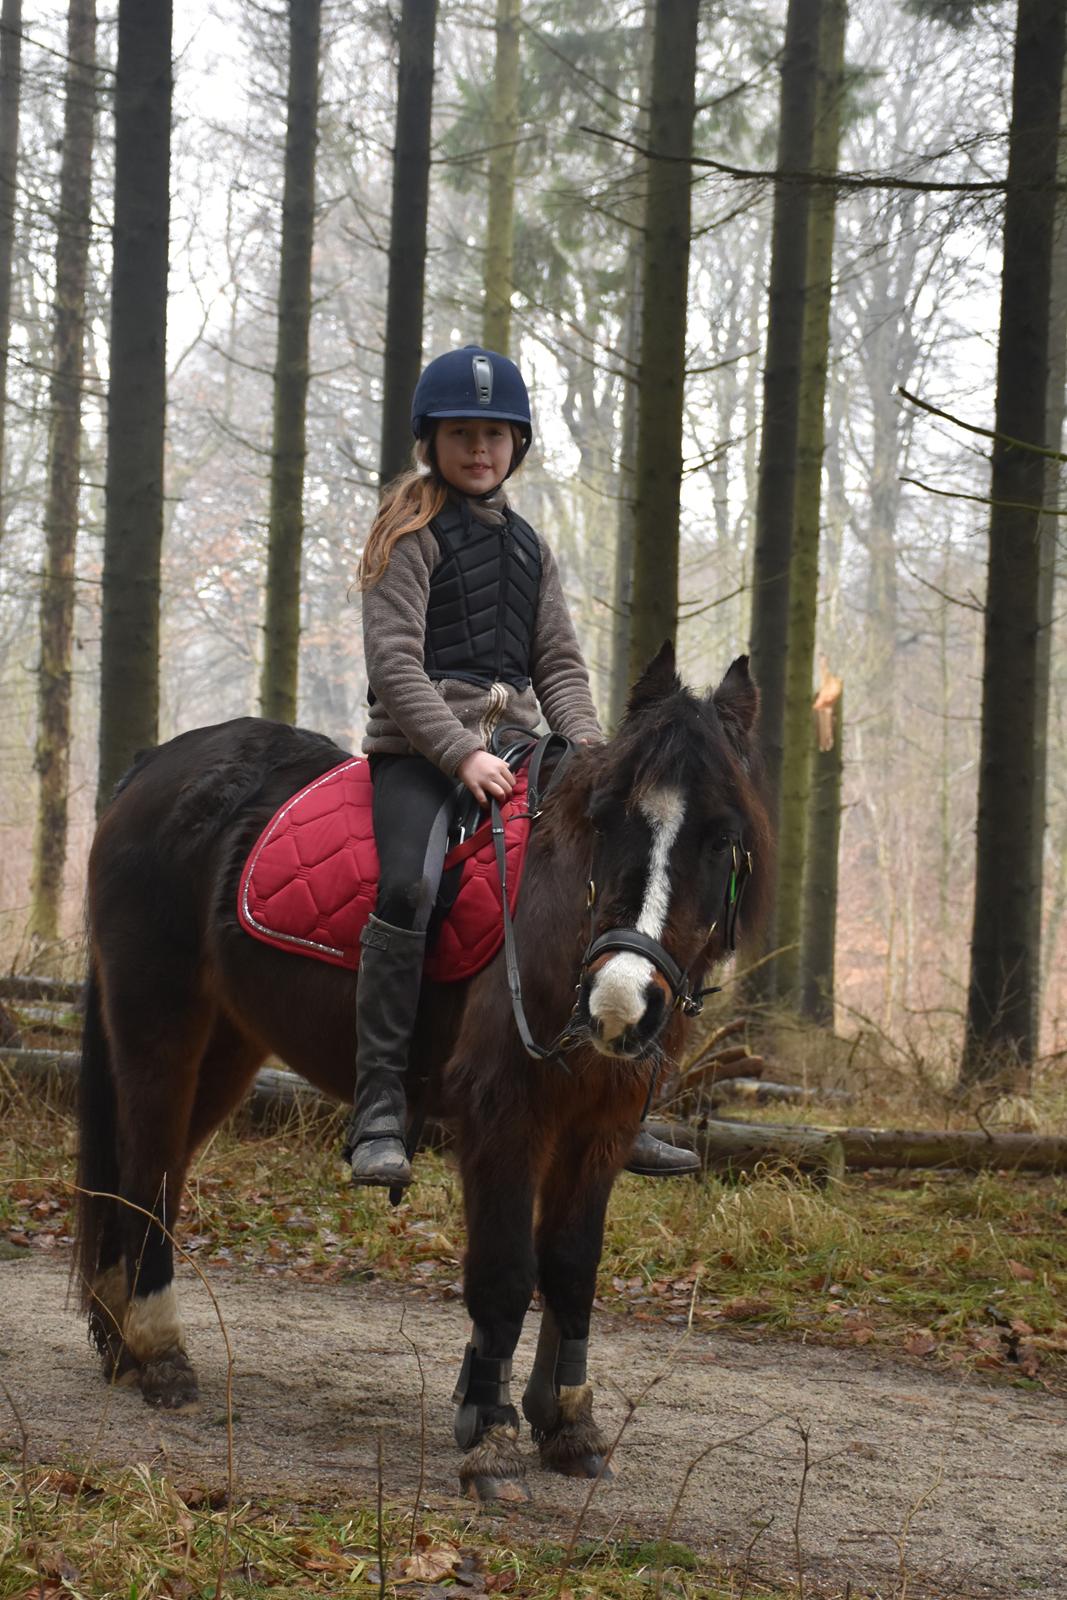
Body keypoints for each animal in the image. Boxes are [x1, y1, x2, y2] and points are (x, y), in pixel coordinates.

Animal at [73, 643, 767, 1504]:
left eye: (720, 836)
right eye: (605, 819)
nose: (619, 1004)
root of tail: (153, 768)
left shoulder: (598, 1126)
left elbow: (571, 1268)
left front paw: (567, 1423)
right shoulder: (504, 1118)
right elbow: (504, 1271)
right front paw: (491, 1439)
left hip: (229, 1044)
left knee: (154, 1172)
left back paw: (123, 1341)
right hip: (159, 1023)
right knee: (149, 1171)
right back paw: (162, 1353)